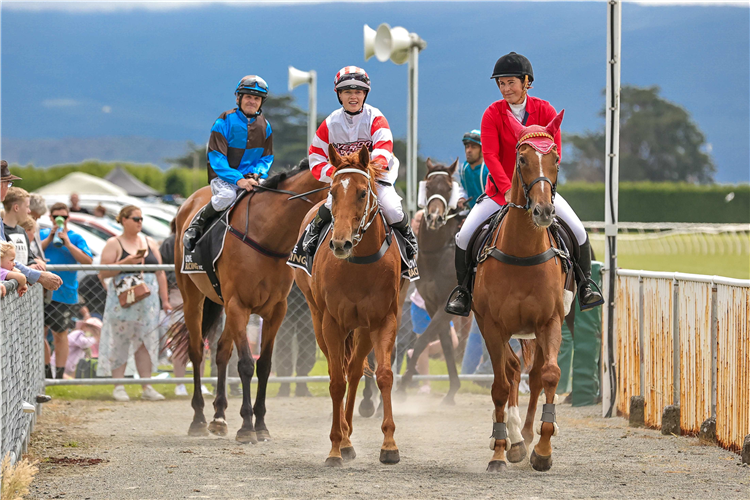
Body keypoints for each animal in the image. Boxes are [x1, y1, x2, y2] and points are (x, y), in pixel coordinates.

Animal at [176, 162, 328, 444]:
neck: (267, 235)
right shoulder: (239, 306)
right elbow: (246, 364)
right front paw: (247, 426)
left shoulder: (275, 310)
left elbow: (264, 366)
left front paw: (261, 425)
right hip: (192, 297)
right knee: (196, 351)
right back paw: (199, 418)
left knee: (221, 352)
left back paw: (219, 418)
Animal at [296, 144, 408, 464]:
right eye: (333, 192)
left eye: (361, 192)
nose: (340, 243)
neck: (360, 263)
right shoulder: (332, 323)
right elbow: (336, 381)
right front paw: (335, 445)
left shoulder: (383, 320)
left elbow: (383, 375)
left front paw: (389, 444)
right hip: (317, 317)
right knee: (342, 371)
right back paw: (344, 440)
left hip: (363, 328)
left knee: (356, 370)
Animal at [400, 159, 464, 406]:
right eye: (428, 186)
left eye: (448, 187)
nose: (434, 218)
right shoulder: (431, 303)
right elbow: (444, 344)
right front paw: (452, 390)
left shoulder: (447, 306)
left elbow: (423, 341)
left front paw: (402, 384)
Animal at [476, 109, 568, 472]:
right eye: (522, 159)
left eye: (556, 158)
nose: (543, 212)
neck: (523, 252)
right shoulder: (491, 325)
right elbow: (500, 386)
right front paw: (500, 451)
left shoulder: (549, 321)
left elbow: (550, 375)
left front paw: (542, 449)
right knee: (512, 370)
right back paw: (510, 439)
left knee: (535, 374)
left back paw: (526, 436)